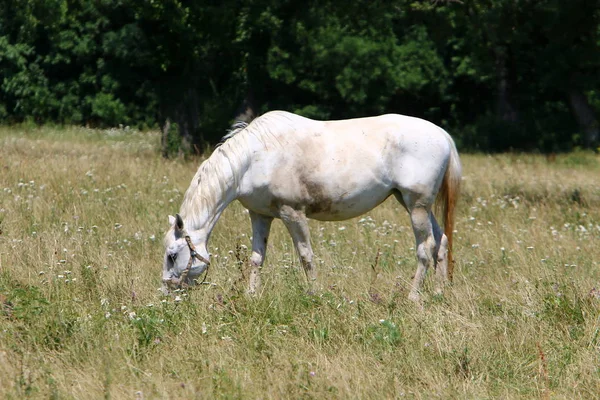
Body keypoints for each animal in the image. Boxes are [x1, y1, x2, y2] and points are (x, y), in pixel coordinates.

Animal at [159, 111, 460, 302]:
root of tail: (443, 135)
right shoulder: (260, 215)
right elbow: (257, 258)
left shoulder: (293, 213)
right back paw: (438, 293)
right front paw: (251, 295)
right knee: (441, 241)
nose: (167, 292)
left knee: (425, 248)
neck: (254, 157)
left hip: (416, 205)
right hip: (415, 204)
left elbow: (306, 256)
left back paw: (413, 297)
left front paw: (314, 294)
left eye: (172, 255)